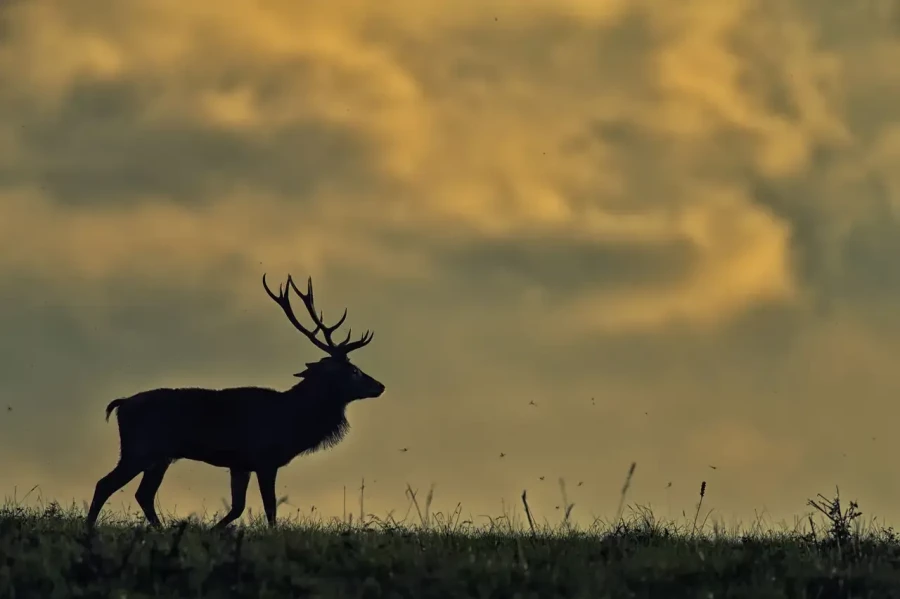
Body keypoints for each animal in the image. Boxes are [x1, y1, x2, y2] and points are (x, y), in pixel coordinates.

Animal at [85, 274, 385, 530]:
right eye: (354, 371)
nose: (380, 386)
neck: (293, 423)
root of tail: (121, 404)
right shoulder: (265, 458)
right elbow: (269, 508)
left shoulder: (240, 464)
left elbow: (237, 507)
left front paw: (212, 531)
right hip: (140, 448)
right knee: (105, 484)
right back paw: (90, 529)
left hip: (160, 456)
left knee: (143, 494)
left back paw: (160, 530)